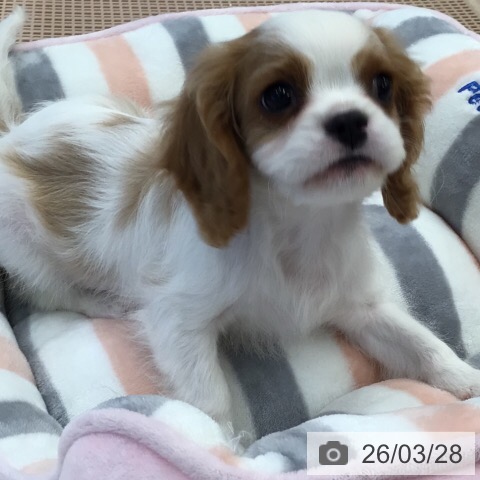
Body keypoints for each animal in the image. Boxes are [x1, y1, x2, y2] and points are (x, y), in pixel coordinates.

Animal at [1, 11, 479, 421]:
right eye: (278, 96)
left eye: (382, 85)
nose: (349, 121)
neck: (298, 225)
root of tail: (14, 135)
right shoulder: (178, 321)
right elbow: (209, 401)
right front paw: (220, 445)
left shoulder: (361, 306)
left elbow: (421, 343)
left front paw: (466, 380)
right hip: (27, 249)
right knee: (51, 293)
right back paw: (106, 301)